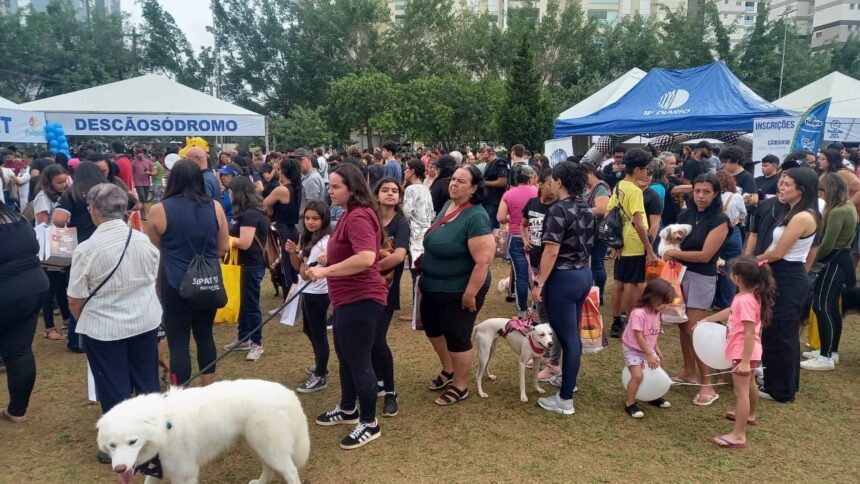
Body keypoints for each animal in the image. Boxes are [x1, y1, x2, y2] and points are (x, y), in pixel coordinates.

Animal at [97, 379, 310, 484]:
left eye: (132, 442)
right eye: (112, 446)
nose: (119, 469)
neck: (162, 429)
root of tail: (287, 393)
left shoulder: (184, 475)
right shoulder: (156, 471)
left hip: (269, 447)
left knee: (290, 471)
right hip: (256, 444)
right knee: (268, 467)